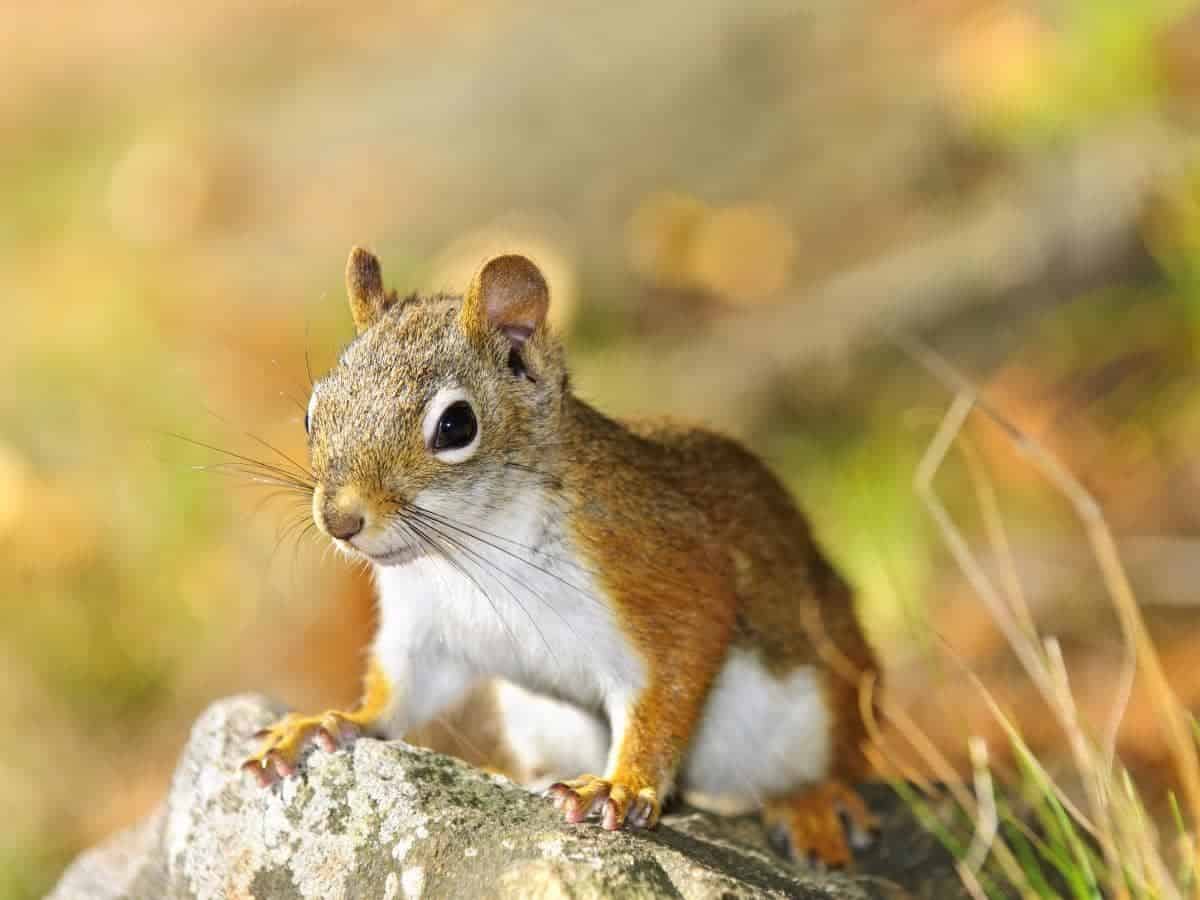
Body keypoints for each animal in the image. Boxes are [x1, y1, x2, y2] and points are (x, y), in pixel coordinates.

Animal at [242, 247, 882, 866]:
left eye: (456, 425)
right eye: (313, 412)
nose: (340, 520)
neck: (467, 552)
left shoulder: (661, 571)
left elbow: (669, 685)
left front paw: (620, 787)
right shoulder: (427, 631)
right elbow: (398, 694)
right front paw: (331, 721)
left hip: (821, 703)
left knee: (838, 762)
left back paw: (812, 803)